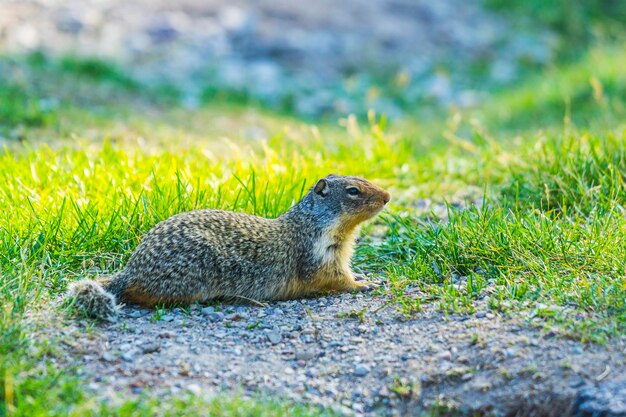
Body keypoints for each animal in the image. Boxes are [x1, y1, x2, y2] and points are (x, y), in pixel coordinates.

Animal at [68, 174, 390, 316]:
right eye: (353, 190)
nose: (387, 196)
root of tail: (132, 269)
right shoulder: (320, 256)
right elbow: (336, 279)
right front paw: (365, 284)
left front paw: (364, 276)